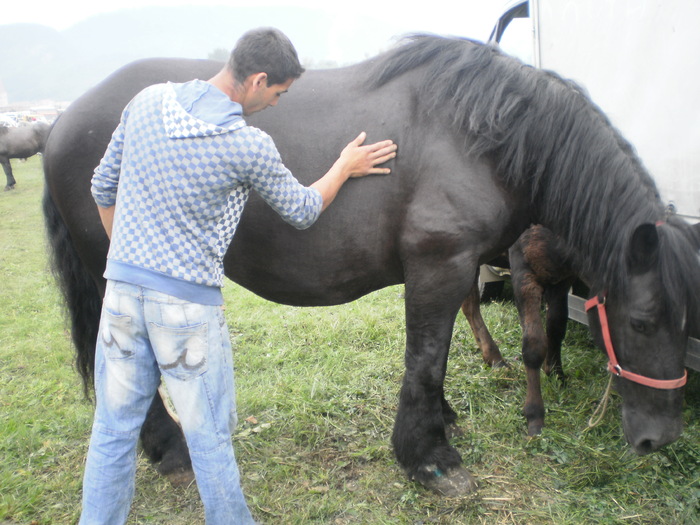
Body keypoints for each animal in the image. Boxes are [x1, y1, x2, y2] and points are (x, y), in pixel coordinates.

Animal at [39, 35, 700, 496]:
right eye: (640, 322)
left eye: (687, 323)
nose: (658, 438)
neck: (489, 135)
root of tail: (63, 120)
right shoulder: (440, 265)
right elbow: (426, 358)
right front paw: (429, 457)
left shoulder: (452, 270)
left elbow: (440, 350)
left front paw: (442, 423)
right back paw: (172, 453)